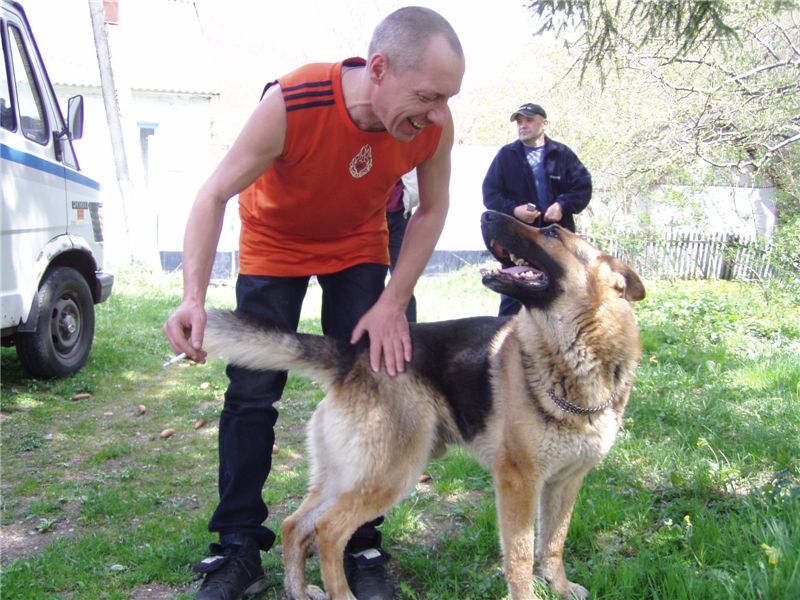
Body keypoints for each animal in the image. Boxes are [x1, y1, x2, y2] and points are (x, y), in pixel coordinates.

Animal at [202, 210, 646, 600]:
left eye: (553, 233)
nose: (486, 214)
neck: (573, 356)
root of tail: (353, 354)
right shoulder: (518, 482)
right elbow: (520, 556)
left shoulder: (566, 482)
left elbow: (553, 543)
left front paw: (561, 588)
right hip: (392, 472)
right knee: (327, 530)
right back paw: (341, 594)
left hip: (349, 473)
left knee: (295, 526)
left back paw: (298, 590)